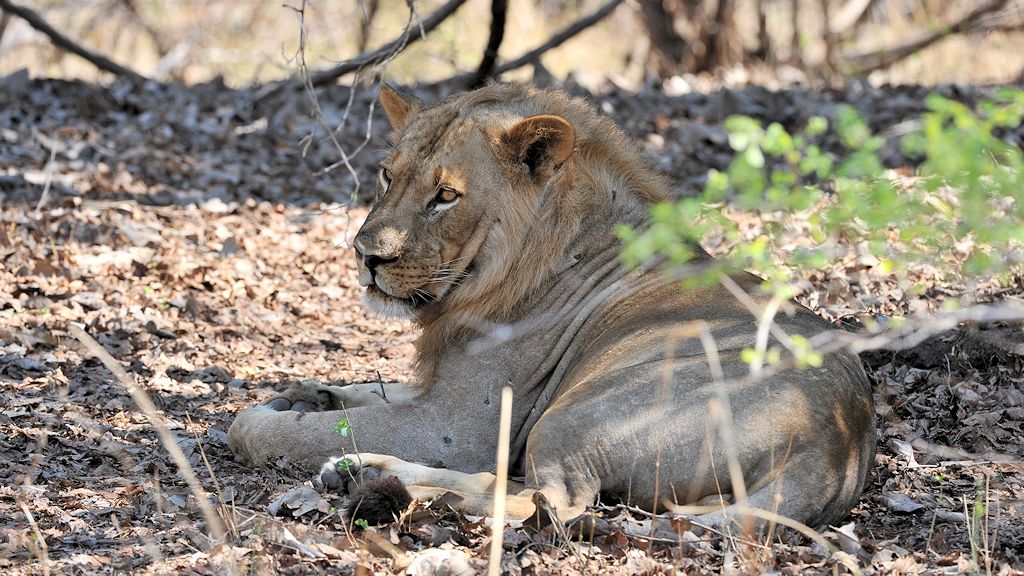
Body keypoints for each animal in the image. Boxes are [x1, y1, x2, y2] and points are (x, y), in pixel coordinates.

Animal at [227, 83, 876, 530]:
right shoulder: (434, 391)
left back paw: (369, 475)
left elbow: (292, 431)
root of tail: (831, 447)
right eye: (388, 176)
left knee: (546, 501)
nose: (366, 255)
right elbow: (366, 390)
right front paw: (307, 392)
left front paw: (260, 419)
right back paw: (362, 471)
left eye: (445, 195)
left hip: (580, 414)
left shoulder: (456, 424)